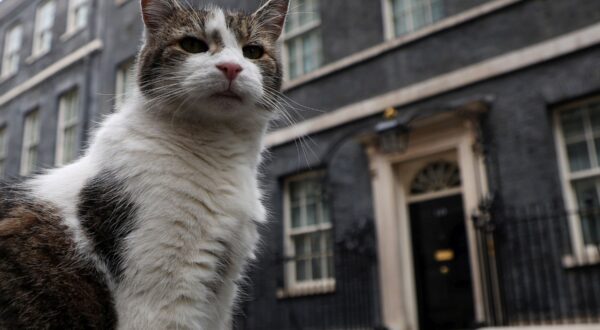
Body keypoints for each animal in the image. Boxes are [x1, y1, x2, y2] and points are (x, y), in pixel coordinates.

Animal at [0, 1, 290, 328]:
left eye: (253, 51)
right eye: (192, 45)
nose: (231, 67)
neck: (219, 151)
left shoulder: (220, 295)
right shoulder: (164, 295)